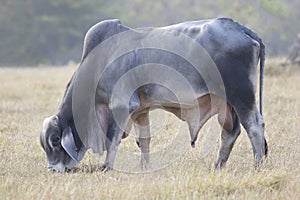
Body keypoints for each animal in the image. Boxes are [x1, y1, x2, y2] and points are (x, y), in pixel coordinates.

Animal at [39, 18, 268, 173]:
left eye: (56, 139)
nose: (52, 170)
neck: (97, 64)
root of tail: (240, 28)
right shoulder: (141, 110)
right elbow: (144, 140)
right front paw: (144, 167)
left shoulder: (122, 106)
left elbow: (113, 140)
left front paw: (107, 167)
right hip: (228, 103)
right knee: (231, 132)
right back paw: (218, 166)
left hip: (242, 95)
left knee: (254, 126)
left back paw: (256, 166)